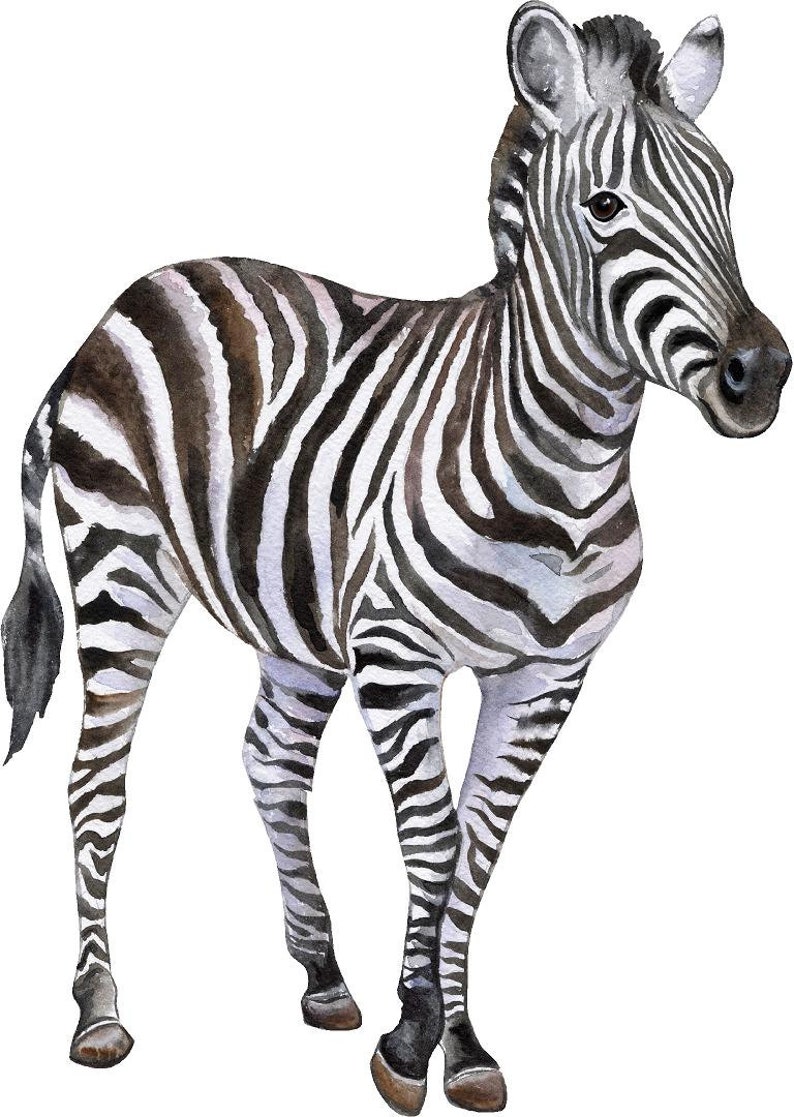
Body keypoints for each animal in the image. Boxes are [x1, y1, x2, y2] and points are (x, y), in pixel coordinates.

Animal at [1, 3, 789, 1113]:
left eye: (725, 189)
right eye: (604, 205)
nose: (760, 373)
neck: (565, 467)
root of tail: (126, 300)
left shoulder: (546, 674)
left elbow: (478, 853)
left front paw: (459, 1042)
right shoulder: (395, 657)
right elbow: (435, 836)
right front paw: (411, 1037)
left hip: (288, 605)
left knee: (270, 758)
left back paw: (325, 975)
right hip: (122, 571)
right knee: (94, 781)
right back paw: (100, 1015)